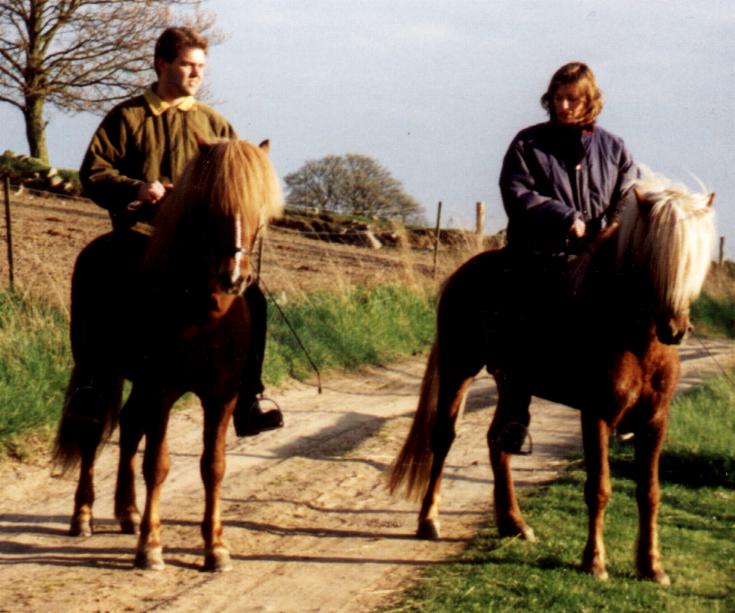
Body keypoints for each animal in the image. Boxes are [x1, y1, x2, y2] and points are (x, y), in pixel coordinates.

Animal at [54, 141, 284, 572]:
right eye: (211, 206)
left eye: (258, 207)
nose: (235, 277)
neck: (203, 311)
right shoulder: (161, 390)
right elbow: (157, 465)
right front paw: (151, 547)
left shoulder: (221, 397)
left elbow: (213, 466)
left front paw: (215, 548)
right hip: (99, 369)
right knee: (93, 431)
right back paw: (84, 516)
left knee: (129, 425)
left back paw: (127, 513)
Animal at [394, 169, 716, 584]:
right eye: (654, 257)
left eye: (695, 262)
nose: (675, 330)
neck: (632, 337)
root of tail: (462, 275)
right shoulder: (595, 415)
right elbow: (599, 487)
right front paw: (593, 561)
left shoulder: (655, 421)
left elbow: (649, 492)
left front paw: (651, 565)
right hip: (458, 368)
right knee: (444, 439)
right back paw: (429, 520)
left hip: (512, 383)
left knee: (498, 441)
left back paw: (513, 523)